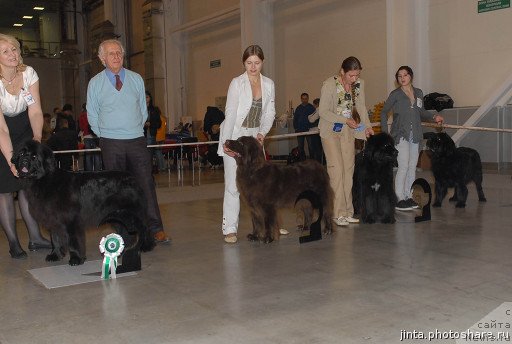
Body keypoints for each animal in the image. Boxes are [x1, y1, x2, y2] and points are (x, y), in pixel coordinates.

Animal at [12, 140, 154, 268]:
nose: (24, 161)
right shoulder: (54, 219)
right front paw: (55, 255)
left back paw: (145, 246)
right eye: (21, 153)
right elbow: (56, 238)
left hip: (134, 212)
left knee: (144, 227)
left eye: (34, 156)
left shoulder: (71, 220)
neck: (46, 180)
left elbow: (74, 241)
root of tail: (132, 178)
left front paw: (76, 259)